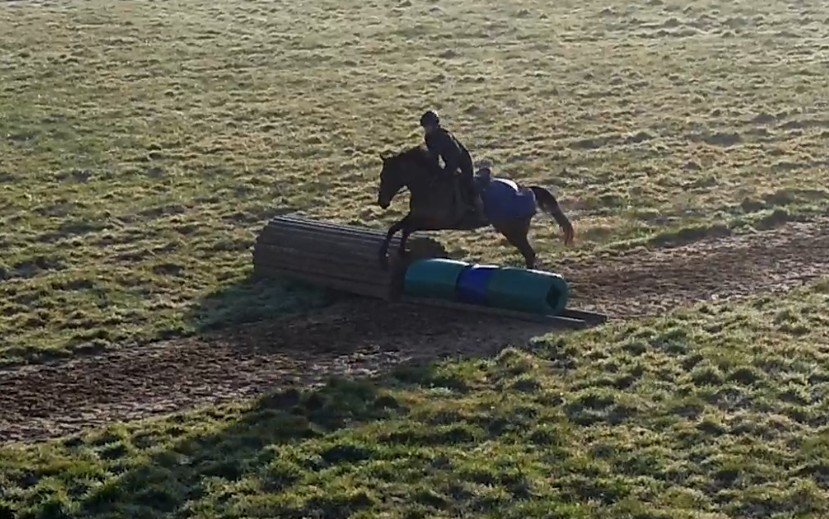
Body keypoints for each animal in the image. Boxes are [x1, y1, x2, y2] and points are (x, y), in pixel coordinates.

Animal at [376, 144, 575, 269]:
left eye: (386, 176)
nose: (382, 203)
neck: (428, 185)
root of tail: (527, 190)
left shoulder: (434, 221)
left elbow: (405, 228)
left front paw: (391, 255)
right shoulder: (416, 216)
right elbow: (397, 228)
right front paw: (395, 253)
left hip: (513, 230)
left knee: (529, 254)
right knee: (528, 254)